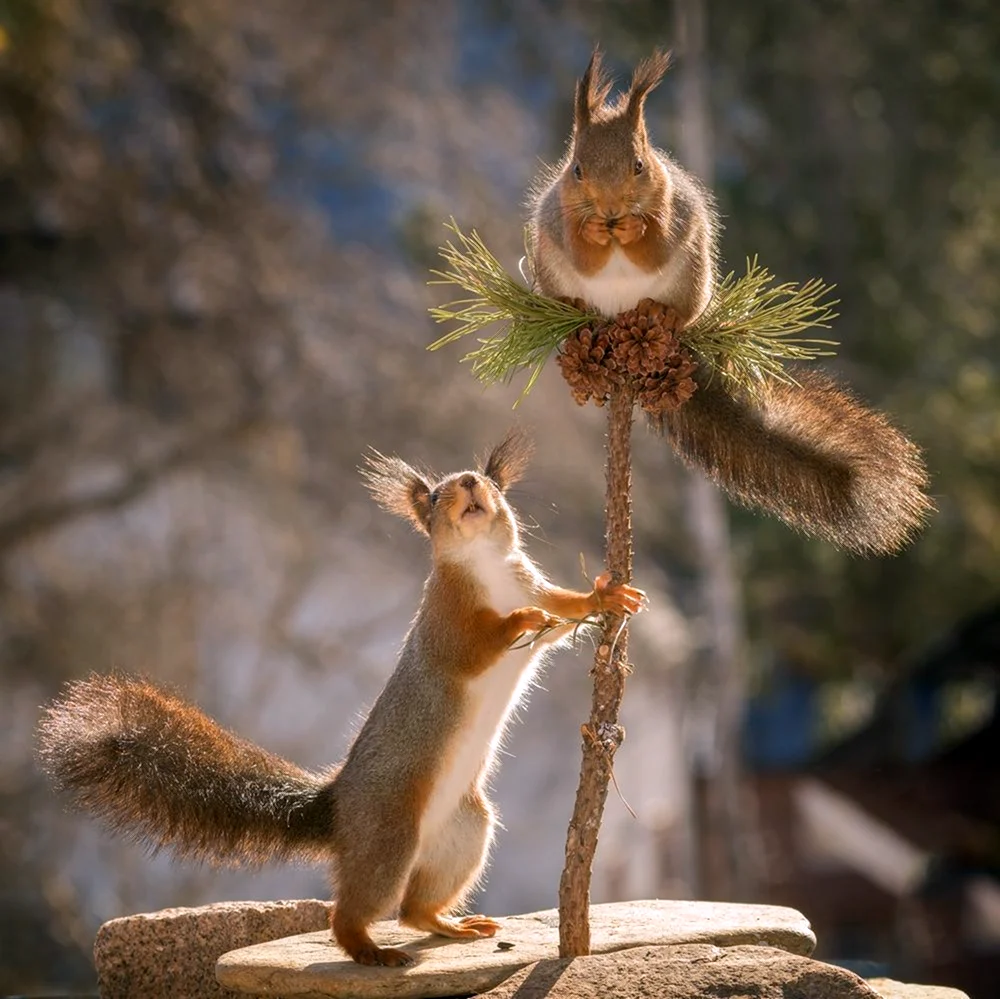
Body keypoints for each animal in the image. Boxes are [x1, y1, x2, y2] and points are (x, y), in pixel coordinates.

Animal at [35, 436, 644, 968]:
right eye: (434, 496)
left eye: (490, 482)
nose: (471, 483)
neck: (486, 567)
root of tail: (337, 807)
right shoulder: (446, 624)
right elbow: (478, 646)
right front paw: (519, 620)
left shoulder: (531, 582)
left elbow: (564, 610)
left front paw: (607, 594)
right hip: (388, 835)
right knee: (352, 914)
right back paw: (372, 950)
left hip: (464, 833)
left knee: (415, 909)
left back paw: (450, 925)